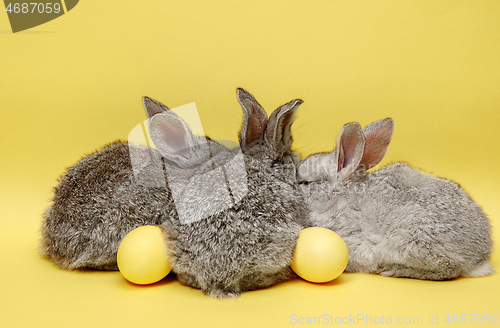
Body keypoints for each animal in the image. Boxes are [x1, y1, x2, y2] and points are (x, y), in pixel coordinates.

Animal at [294, 118, 494, 280]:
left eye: (305, 182)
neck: (339, 199)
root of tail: (479, 257)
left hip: (412, 243)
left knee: (449, 268)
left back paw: (393, 271)